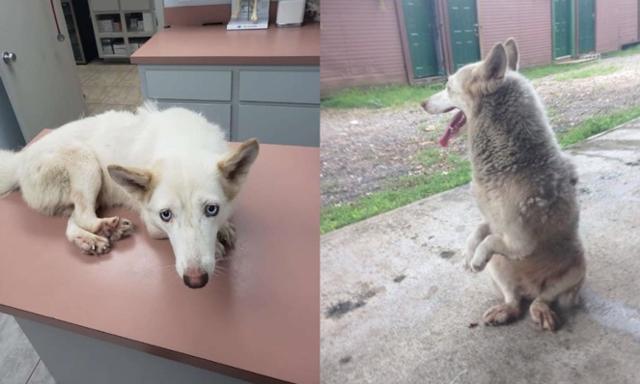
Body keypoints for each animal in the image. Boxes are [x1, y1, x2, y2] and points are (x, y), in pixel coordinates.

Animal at [0, 103, 260, 290]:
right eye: (165, 215)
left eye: (211, 209)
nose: (195, 281)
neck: (183, 142)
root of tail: (21, 158)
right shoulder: (151, 223)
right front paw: (216, 245)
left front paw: (223, 229)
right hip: (86, 162)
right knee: (83, 216)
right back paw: (107, 228)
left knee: (72, 222)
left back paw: (91, 239)